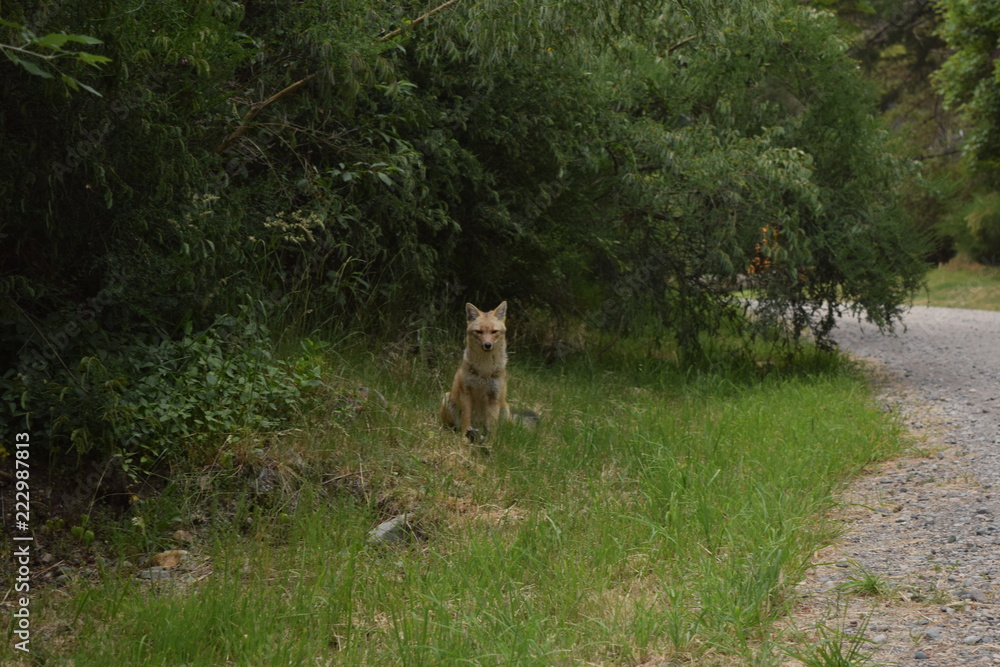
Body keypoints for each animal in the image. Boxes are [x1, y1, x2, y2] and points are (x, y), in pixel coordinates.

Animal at [440, 301, 513, 442]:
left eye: (494, 331)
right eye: (479, 332)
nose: (487, 345)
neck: (484, 369)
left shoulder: (494, 397)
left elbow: (491, 426)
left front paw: (490, 443)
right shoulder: (466, 393)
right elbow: (466, 420)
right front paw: (464, 439)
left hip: (505, 410)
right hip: (448, 399)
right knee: (453, 426)